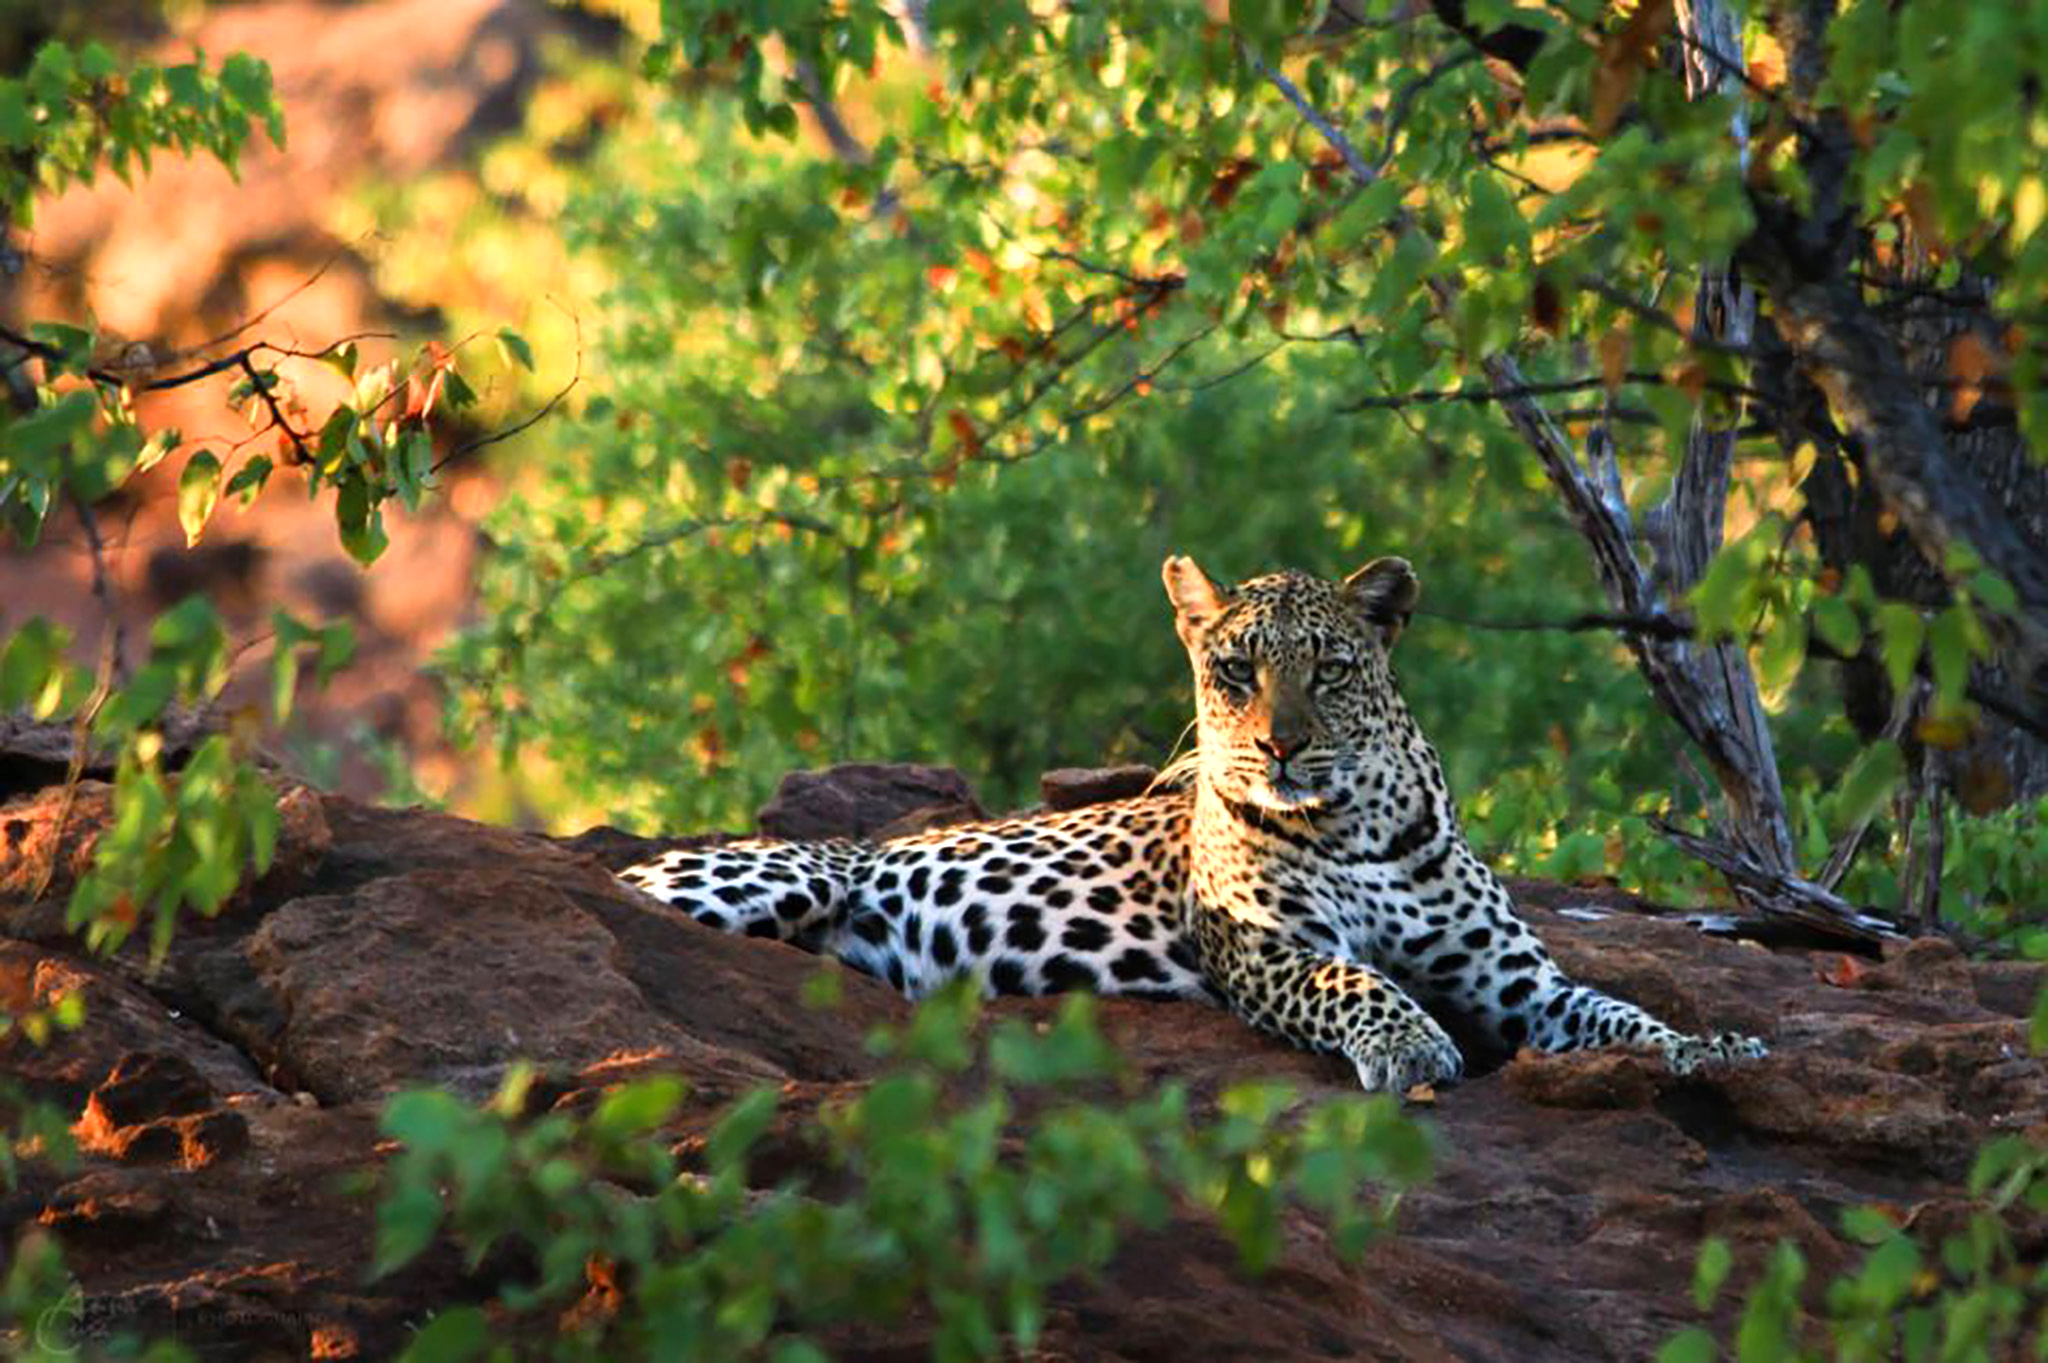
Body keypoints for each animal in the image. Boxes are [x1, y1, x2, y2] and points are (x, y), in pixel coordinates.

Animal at [614, 548, 1769, 1088]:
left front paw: (1712, 1046)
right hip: (773, 875)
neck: (1359, 824)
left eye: (1329, 668)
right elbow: (1355, 979)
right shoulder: (1265, 951)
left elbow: (1619, 1014)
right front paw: (1411, 1046)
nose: (1278, 747)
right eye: (1233, 672)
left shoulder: (1514, 980)